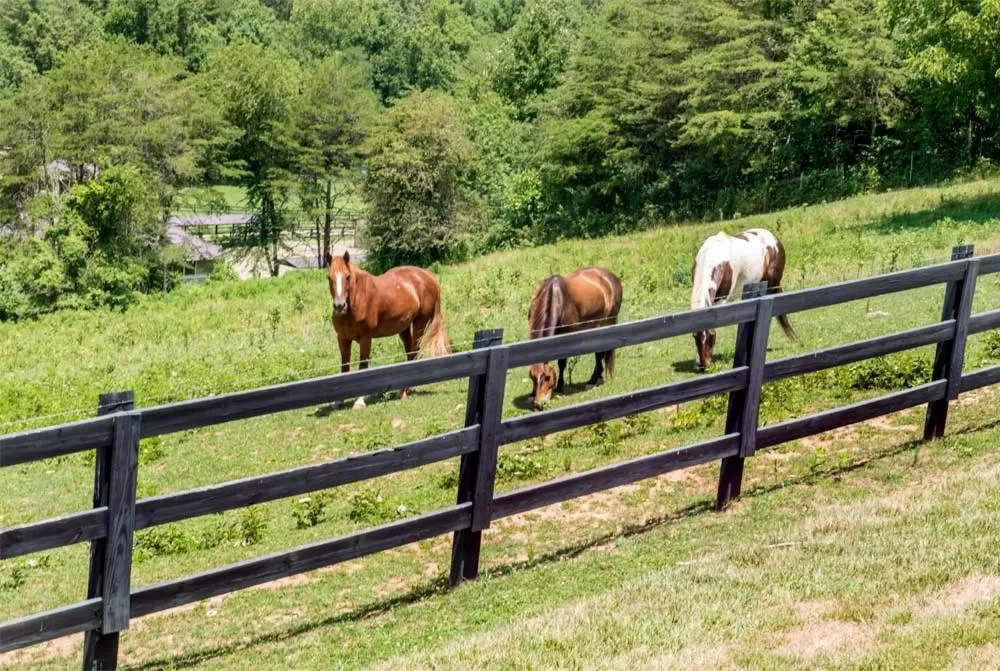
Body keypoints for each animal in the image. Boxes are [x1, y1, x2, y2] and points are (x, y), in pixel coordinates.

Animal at [327, 251, 451, 408]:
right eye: (329, 277)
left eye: (347, 276)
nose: (339, 306)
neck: (357, 301)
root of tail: (429, 276)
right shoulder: (343, 339)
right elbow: (344, 367)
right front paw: (338, 400)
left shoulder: (365, 339)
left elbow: (363, 365)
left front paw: (359, 401)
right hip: (404, 327)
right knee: (410, 352)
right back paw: (406, 389)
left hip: (420, 323)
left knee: (415, 350)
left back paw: (403, 391)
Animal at [527, 267, 623, 410]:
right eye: (532, 377)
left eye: (548, 377)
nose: (539, 404)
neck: (556, 299)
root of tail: (611, 276)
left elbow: (561, 362)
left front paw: (560, 387)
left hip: (606, 322)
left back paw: (592, 380)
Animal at [690, 228, 796, 371]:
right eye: (695, 337)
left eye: (712, 338)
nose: (704, 365)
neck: (712, 256)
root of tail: (774, 239)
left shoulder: (721, 300)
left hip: (771, 285)